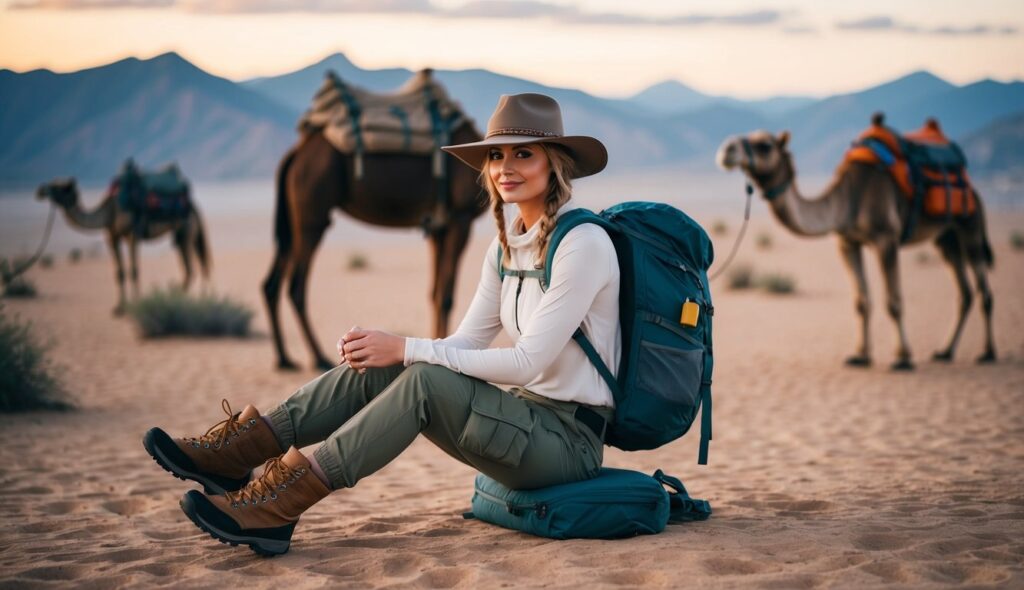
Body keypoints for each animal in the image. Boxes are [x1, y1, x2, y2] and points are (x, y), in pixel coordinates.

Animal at [35, 177, 209, 315]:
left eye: (61, 187)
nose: (40, 191)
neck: (109, 212)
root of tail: (193, 207)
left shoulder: (132, 234)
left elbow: (134, 270)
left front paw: (137, 304)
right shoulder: (112, 237)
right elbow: (120, 272)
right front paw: (119, 308)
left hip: (186, 233)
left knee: (191, 268)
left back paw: (178, 299)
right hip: (185, 236)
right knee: (193, 267)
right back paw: (187, 298)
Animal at [264, 121, 487, 370]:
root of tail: (296, 153)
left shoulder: (439, 227)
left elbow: (435, 294)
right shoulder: (461, 217)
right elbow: (446, 297)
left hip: (292, 223)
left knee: (271, 283)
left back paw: (284, 359)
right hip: (311, 217)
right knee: (296, 286)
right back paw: (319, 358)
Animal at [716, 130, 995, 368]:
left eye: (765, 145)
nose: (726, 149)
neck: (849, 199)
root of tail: (973, 190)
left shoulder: (886, 239)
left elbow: (893, 301)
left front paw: (903, 358)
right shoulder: (847, 242)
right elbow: (861, 301)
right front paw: (860, 356)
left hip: (970, 226)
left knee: (984, 289)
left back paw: (988, 353)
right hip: (946, 238)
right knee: (965, 291)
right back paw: (945, 352)